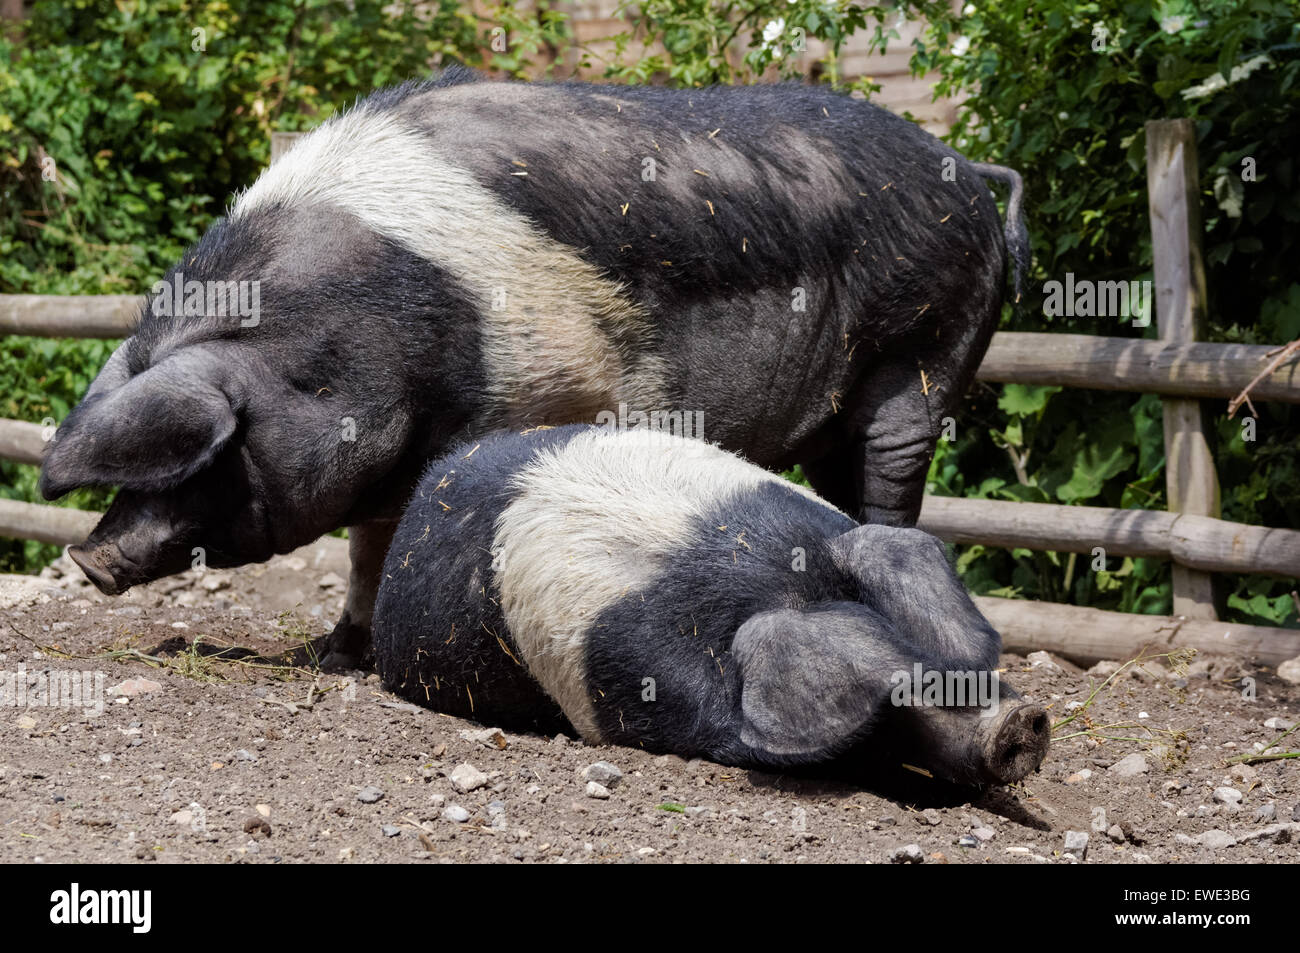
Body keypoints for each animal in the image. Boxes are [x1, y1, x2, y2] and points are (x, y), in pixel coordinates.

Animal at [40, 66, 1029, 665]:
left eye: (219, 445)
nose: (89, 559)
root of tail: (967, 166)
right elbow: (366, 547)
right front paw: (339, 651)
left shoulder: (552, 385)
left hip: (929, 349)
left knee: (896, 478)